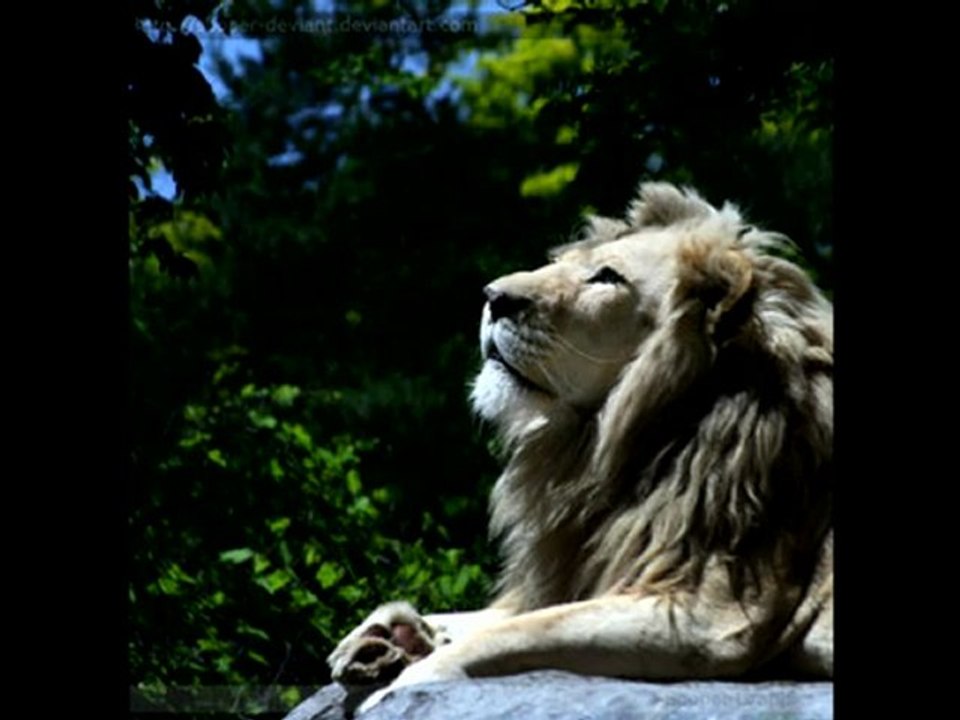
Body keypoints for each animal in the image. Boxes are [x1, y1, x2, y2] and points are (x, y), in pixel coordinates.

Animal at [327, 182, 833, 713]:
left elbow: (515, 631)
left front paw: (398, 683)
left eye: (607, 277)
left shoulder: (710, 617)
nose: (492, 297)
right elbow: (497, 615)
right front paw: (385, 637)